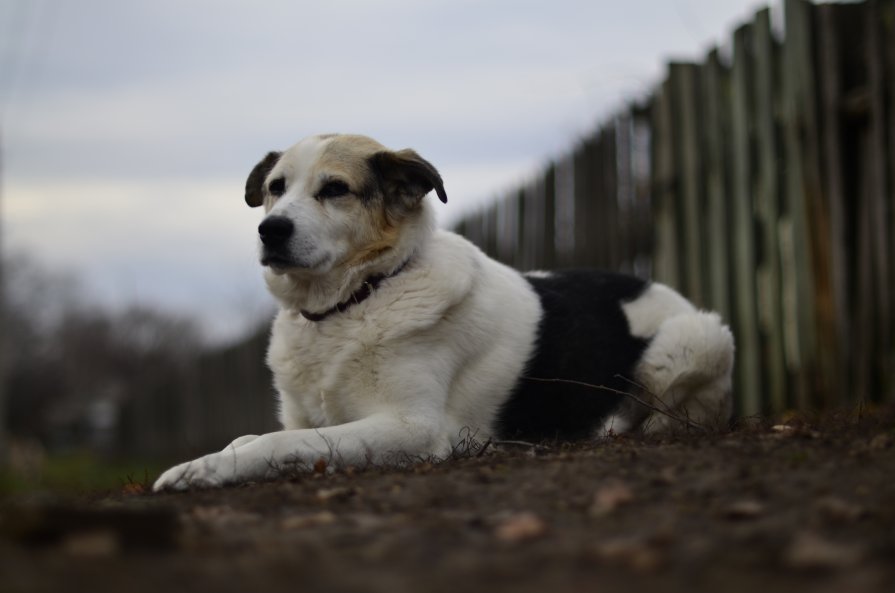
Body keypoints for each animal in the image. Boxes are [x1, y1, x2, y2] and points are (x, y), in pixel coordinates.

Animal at [154, 134, 736, 490]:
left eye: (335, 189)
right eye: (276, 188)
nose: (269, 230)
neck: (360, 298)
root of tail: (654, 283)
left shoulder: (412, 427)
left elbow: (279, 442)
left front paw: (203, 470)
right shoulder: (309, 412)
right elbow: (254, 436)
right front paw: (203, 462)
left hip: (696, 338)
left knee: (672, 418)